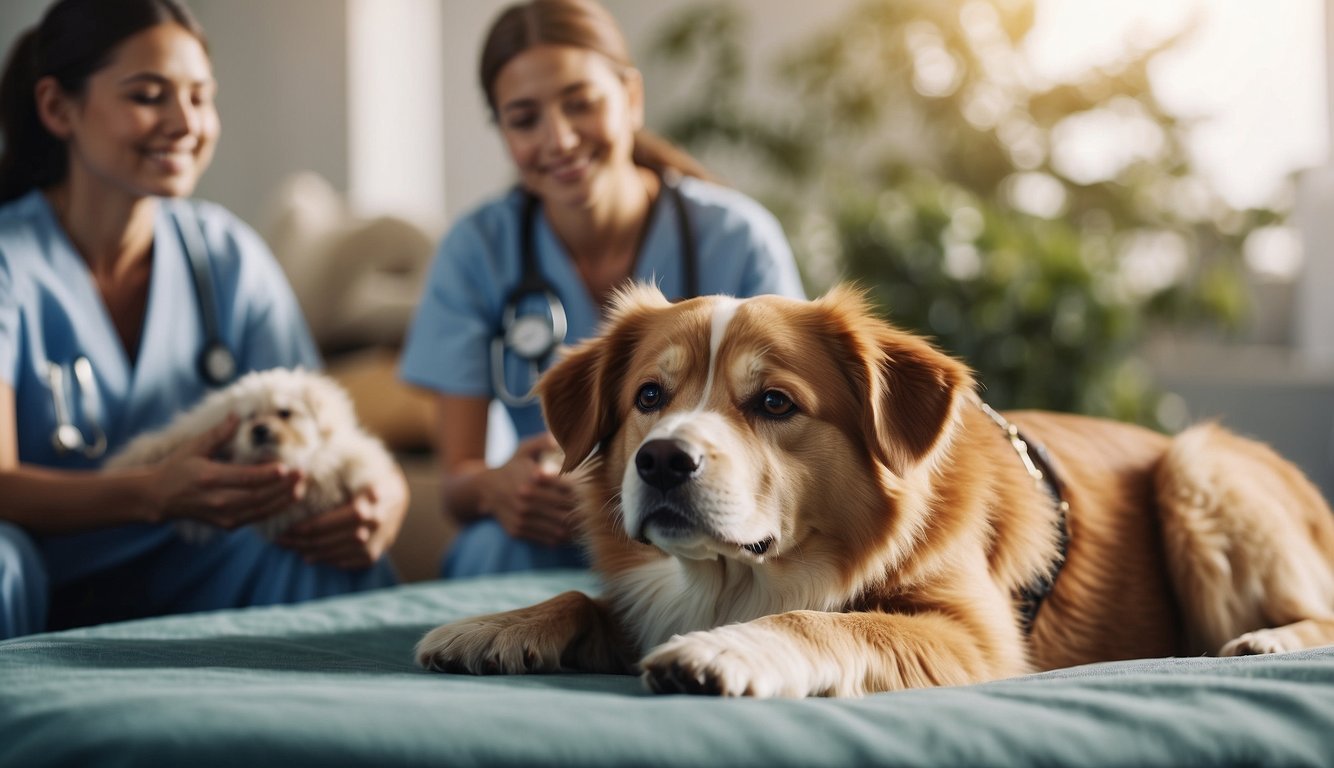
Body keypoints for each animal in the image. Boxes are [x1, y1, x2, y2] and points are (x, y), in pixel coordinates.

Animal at [421, 284, 1334, 693]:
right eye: (650, 396)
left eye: (774, 403)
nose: (662, 463)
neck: (734, 577)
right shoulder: (656, 592)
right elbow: (585, 599)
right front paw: (499, 625)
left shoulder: (976, 636)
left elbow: (830, 623)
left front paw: (726, 650)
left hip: (1199, 467)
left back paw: (1266, 640)